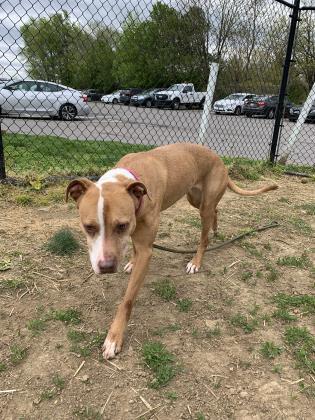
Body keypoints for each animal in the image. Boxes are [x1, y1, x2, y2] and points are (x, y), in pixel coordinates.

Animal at [66, 143, 278, 360]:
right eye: (89, 227)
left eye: (122, 225)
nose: (107, 267)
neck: (131, 181)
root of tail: (219, 159)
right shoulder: (137, 236)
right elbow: (133, 249)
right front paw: (131, 262)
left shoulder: (146, 251)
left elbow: (126, 301)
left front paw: (114, 338)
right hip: (195, 198)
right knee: (216, 211)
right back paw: (216, 228)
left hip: (204, 206)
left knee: (205, 235)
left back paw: (196, 261)